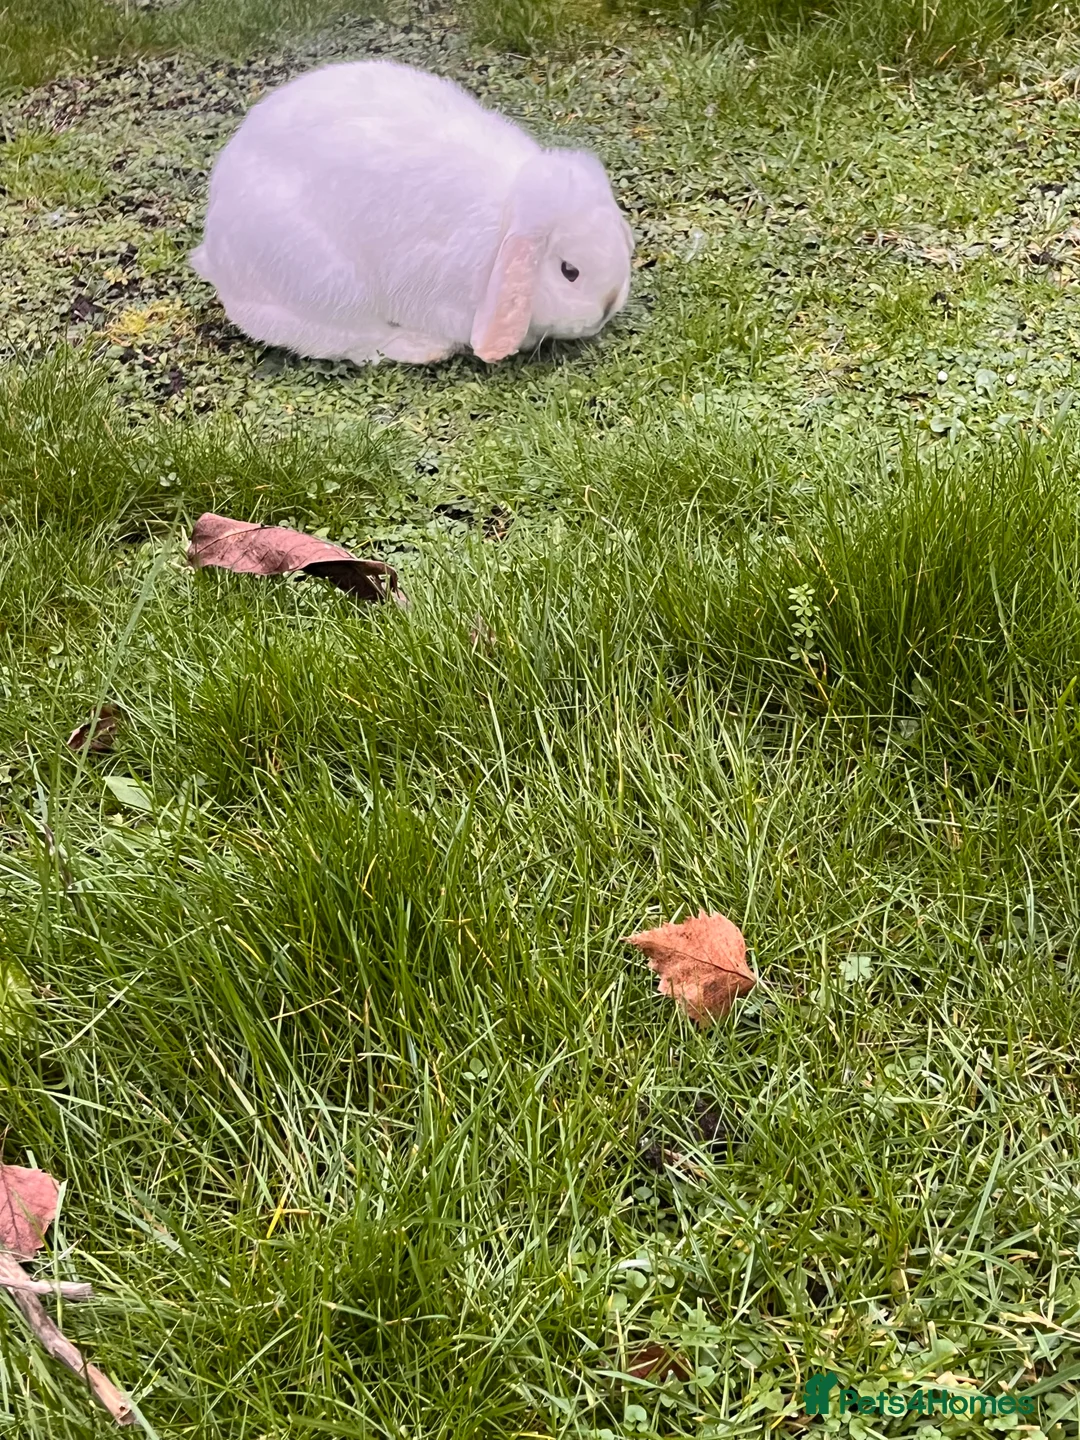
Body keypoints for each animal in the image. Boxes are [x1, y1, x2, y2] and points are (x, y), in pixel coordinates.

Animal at [190, 59, 635, 366]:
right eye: (569, 271)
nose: (608, 306)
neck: (507, 220)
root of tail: (217, 258)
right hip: (323, 284)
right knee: (349, 341)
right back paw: (422, 348)